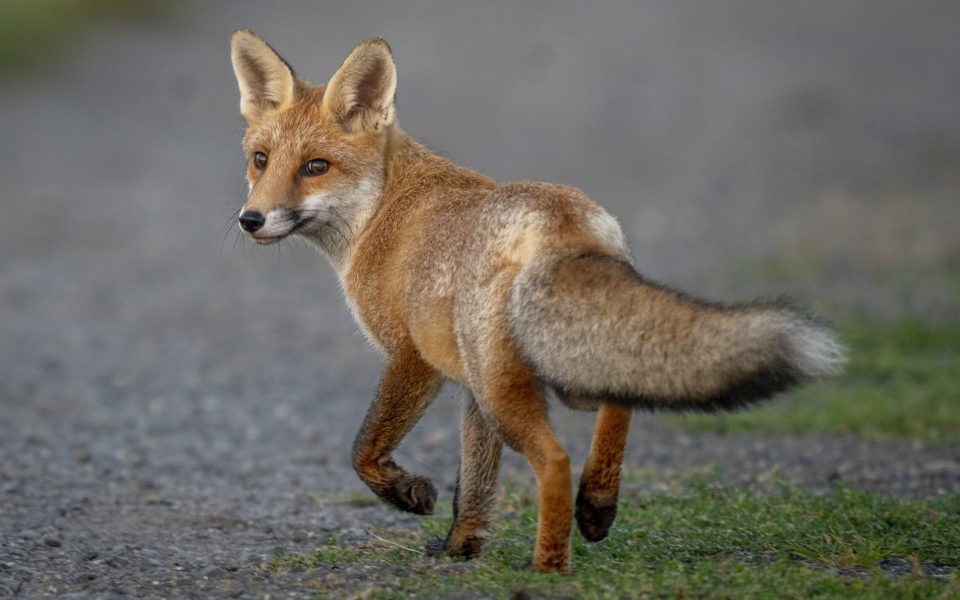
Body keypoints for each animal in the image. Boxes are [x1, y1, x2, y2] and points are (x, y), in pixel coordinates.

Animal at [229, 30, 845, 573]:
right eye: (260, 160)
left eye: (315, 167)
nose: (250, 220)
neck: (380, 213)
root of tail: (561, 221)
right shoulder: (469, 387)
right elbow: (475, 483)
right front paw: (461, 547)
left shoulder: (413, 358)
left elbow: (364, 449)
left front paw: (410, 496)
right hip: (546, 366)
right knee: (619, 396)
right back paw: (597, 506)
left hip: (511, 387)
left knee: (555, 461)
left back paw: (550, 565)